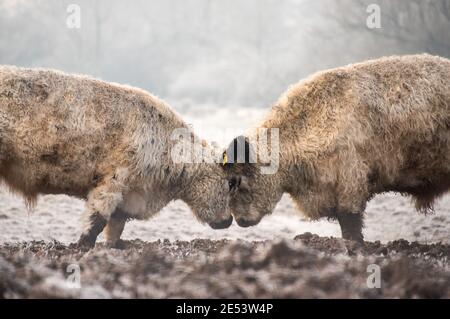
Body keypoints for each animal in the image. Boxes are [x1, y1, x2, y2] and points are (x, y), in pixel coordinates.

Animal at [0, 65, 232, 250]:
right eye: (231, 183)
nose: (229, 220)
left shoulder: (127, 199)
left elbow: (115, 227)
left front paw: (115, 245)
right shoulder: (113, 181)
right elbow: (97, 220)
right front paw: (84, 245)